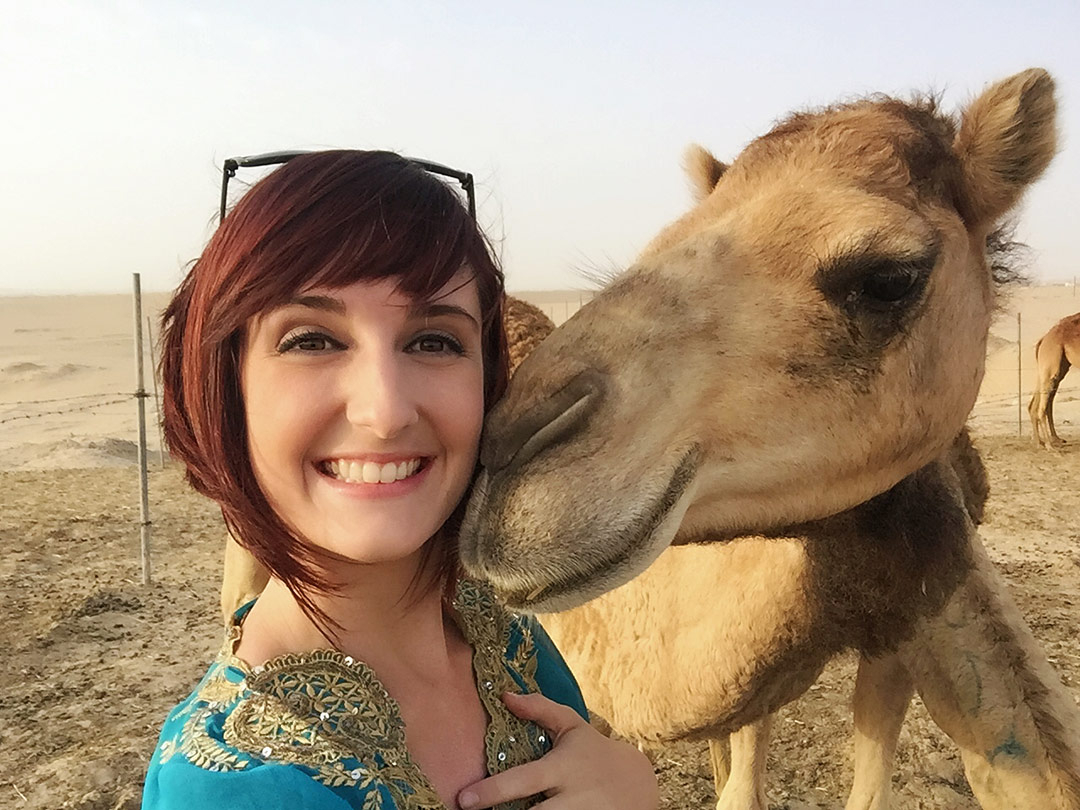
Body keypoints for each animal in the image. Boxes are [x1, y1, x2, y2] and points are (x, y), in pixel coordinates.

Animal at [1023, 313, 1075, 451]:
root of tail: (1044, 338)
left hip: (1057, 365)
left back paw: (1041, 442)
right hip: (1052, 362)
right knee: (1043, 404)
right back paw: (1048, 444)